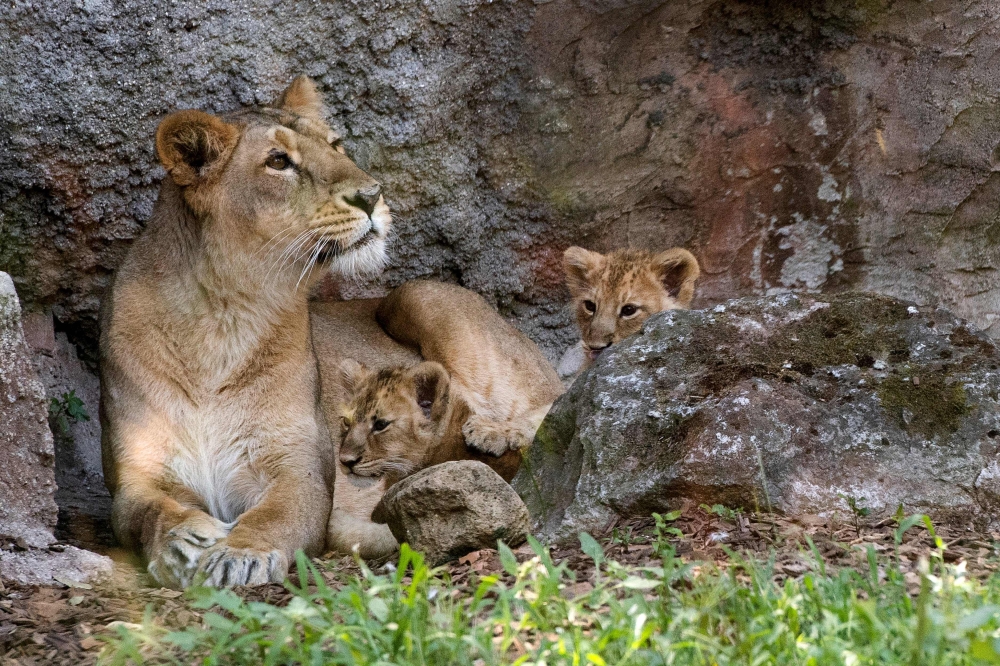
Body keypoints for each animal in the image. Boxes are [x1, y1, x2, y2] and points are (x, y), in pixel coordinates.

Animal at [100, 76, 392, 588]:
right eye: (278, 161)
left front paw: (241, 554)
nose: (372, 194)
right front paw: (182, 540)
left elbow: (275, 515)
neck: (225, 316)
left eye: (336, 145)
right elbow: (149, 512)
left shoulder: (300, 468)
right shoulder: (137, 474)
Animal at [313, 281, 563, 559]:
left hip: (415, 295)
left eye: (380, 425)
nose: (344, 460)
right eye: (346, 421)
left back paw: (493, 431)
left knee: (559, 398)